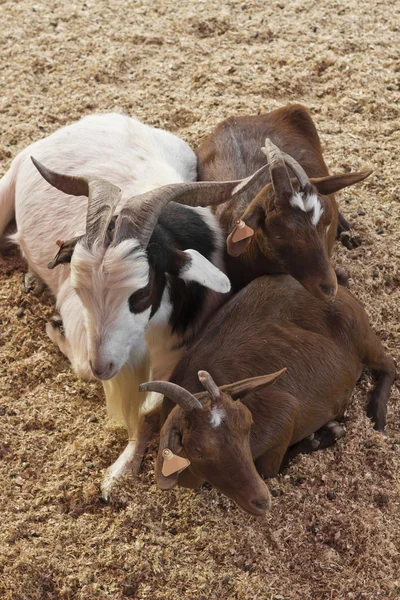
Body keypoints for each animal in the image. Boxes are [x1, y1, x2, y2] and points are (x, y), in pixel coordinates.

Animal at [1, 111, 268, 496]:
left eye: (139, 294)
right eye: (81, 290)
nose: (104, 367)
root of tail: (99, 118)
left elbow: (151, 407)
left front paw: (121, 471)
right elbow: (81, 365)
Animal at [140, 276, 394, 516]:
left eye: (248, 425)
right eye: (198, 451)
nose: (261, 501)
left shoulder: (283, 415)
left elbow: (269, 470)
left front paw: (325, 435)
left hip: (361, 333)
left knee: (390, 366)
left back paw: (377, 419)